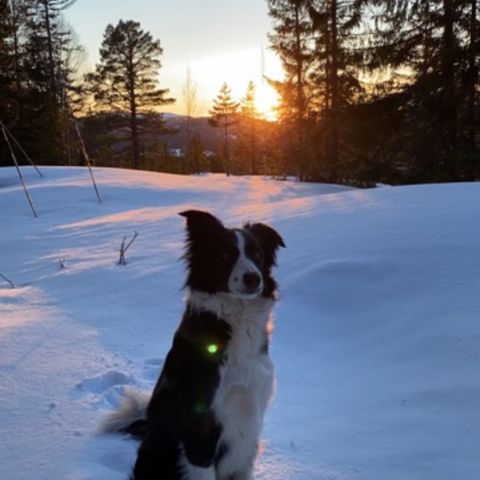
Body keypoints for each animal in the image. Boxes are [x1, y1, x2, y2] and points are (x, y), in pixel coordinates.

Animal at [104, 212, 284, 480]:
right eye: (225, 254)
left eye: (257, 255)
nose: (254, 278)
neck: (236, 321)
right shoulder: (201, 428)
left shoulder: (251, 419)